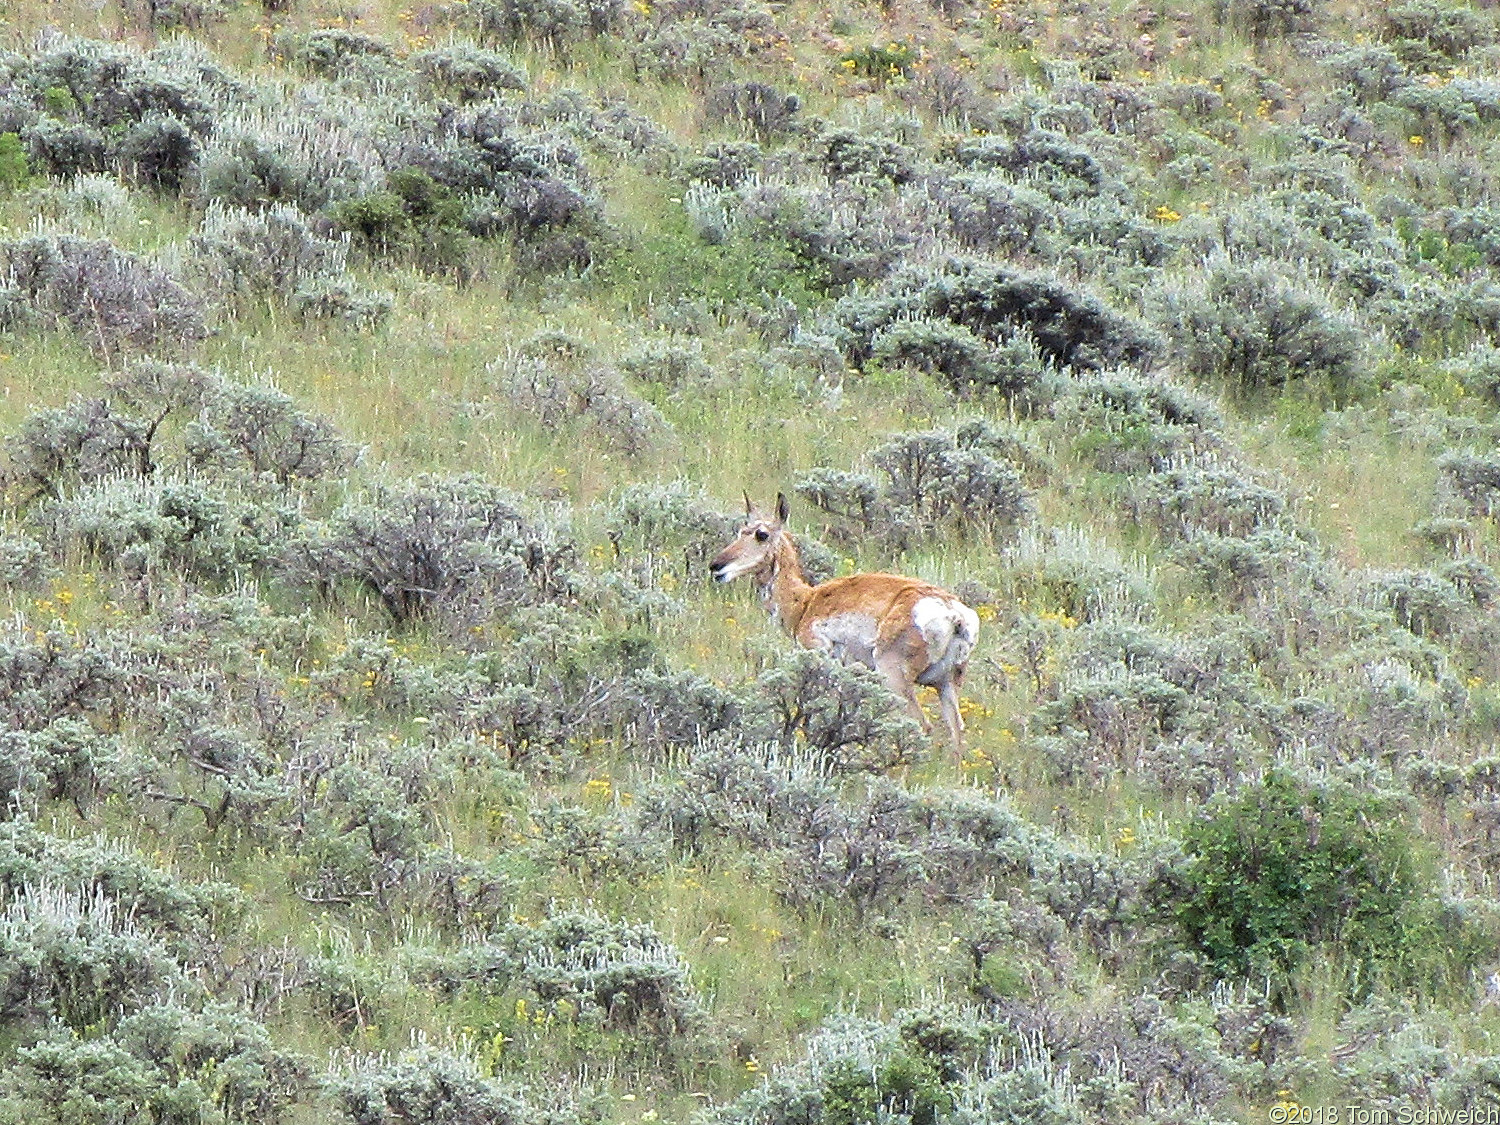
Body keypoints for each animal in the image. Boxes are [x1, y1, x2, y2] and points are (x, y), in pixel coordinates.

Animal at [714, 492, 984, 759]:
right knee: (957, 733)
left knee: (922, 726)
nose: (716, 566)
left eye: (762, 534)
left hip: (894, 677)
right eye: (740, 531)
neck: (806, 602)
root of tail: (954, 614)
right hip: (946, 684)